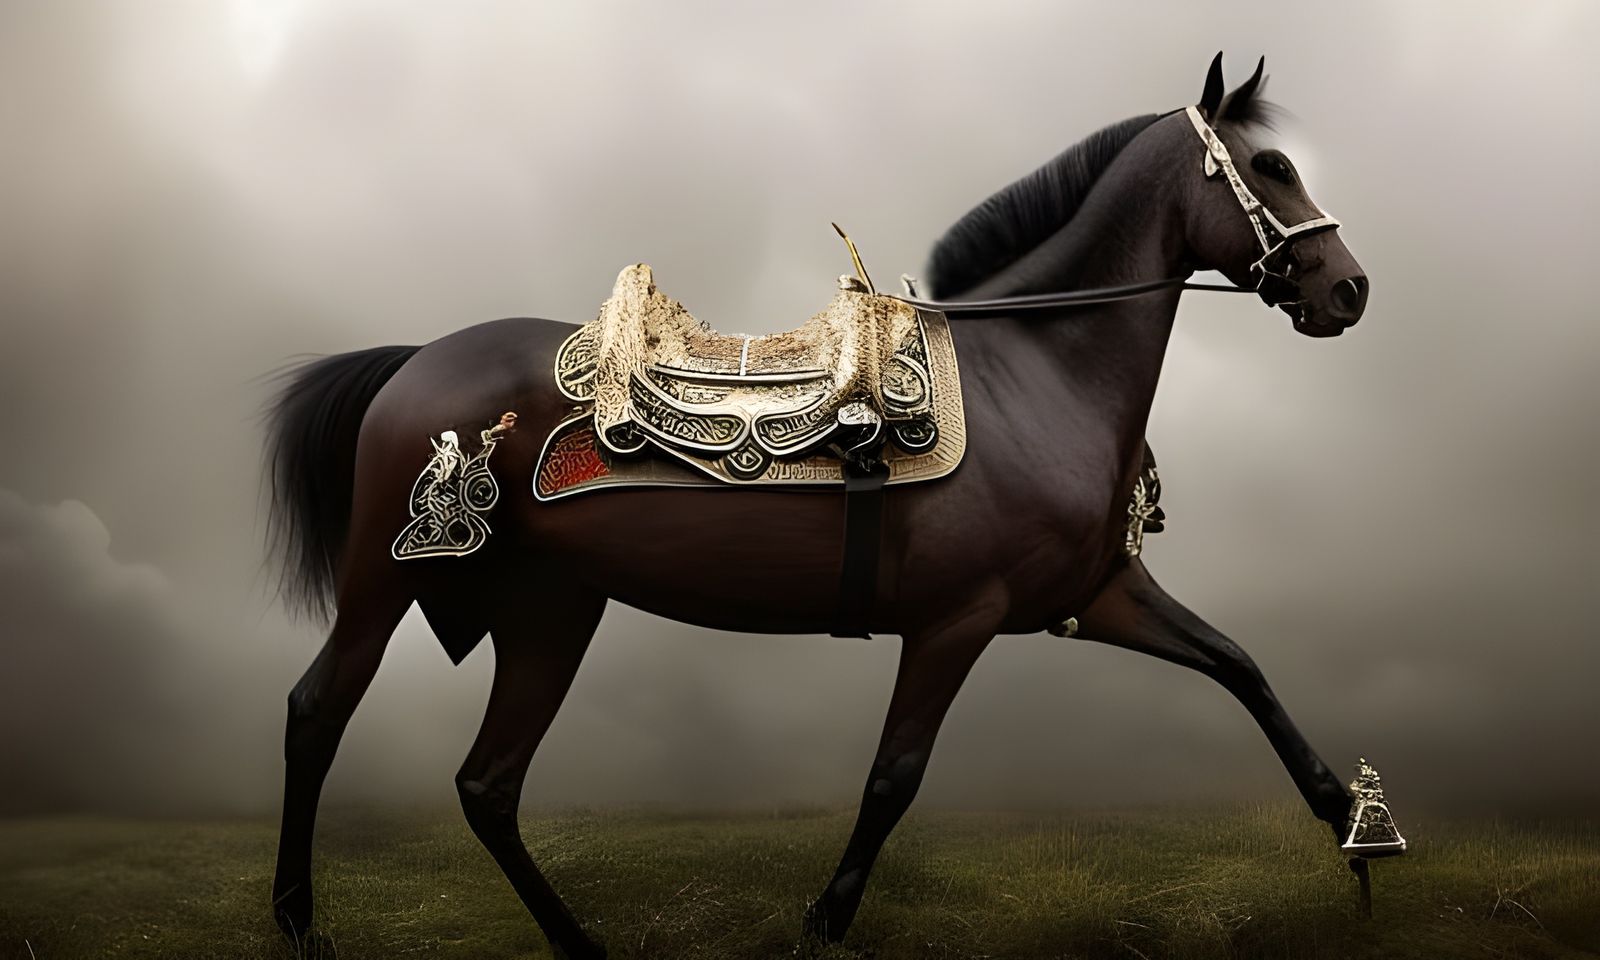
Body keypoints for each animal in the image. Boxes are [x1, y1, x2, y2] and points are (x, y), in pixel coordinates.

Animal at [265, 53, 1371, 957]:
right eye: (1274, 166)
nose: (1348, 289)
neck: (1037, 377)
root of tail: (419, 358)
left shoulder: (1097, 598)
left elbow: (1239, 665)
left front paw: (1355, 833)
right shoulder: (956, 621)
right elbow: (894, 777)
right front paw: (824, 921)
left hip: (551, 611)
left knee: (487, 786)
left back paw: (578, 942)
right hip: (388, 582)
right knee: (318, 713)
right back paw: (295, 920)